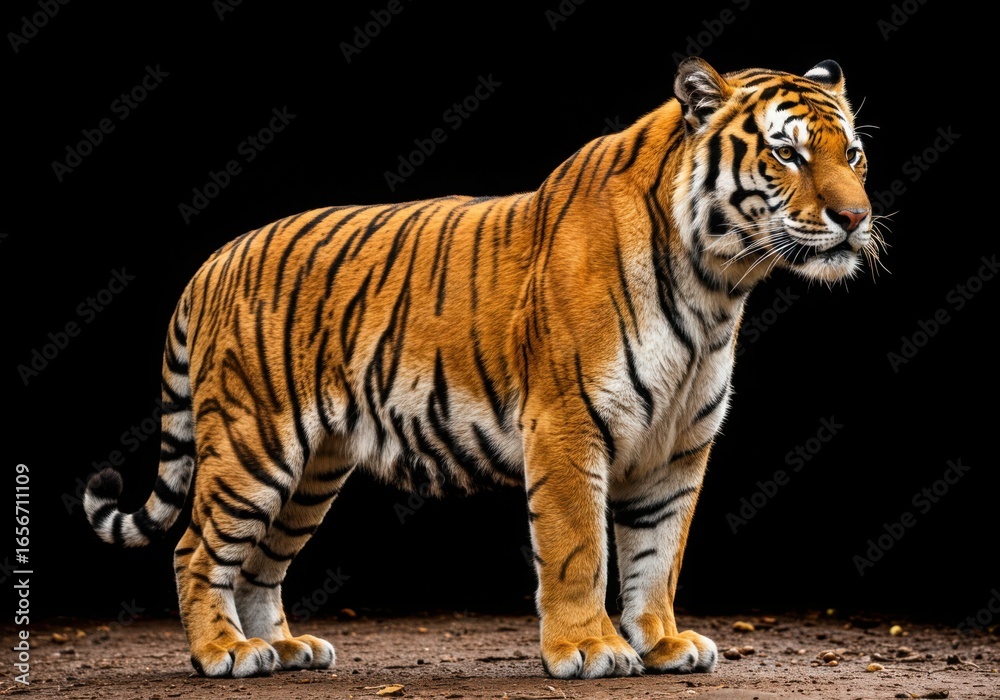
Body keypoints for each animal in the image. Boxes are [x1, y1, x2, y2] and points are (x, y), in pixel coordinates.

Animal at [83, 57, 878, 680]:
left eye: (853, 155)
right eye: (788, 155)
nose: (855, 219)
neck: (717, 284)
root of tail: (215, 259)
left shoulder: (679, 445)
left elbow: (658, 554)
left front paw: (661, 643)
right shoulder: (567, 424)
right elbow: (579, 548)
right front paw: (589, 649)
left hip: (313, 471)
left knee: (260, 563)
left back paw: (282, 649)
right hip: (254, 446)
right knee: (196, 549)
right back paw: (223, 652)